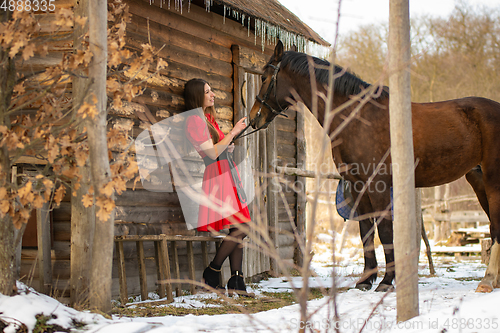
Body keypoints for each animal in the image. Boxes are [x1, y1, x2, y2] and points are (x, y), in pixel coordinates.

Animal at [249, 40, 500, 292]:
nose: (253, 119)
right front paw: (366, 279)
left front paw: (387, 281)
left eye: (264, 77)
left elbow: (385, 231)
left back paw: (487, 280)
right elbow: (366, 231)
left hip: (492, 180)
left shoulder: (378, 185)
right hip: (477, 179)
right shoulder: (357, 186)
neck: (358, 118)